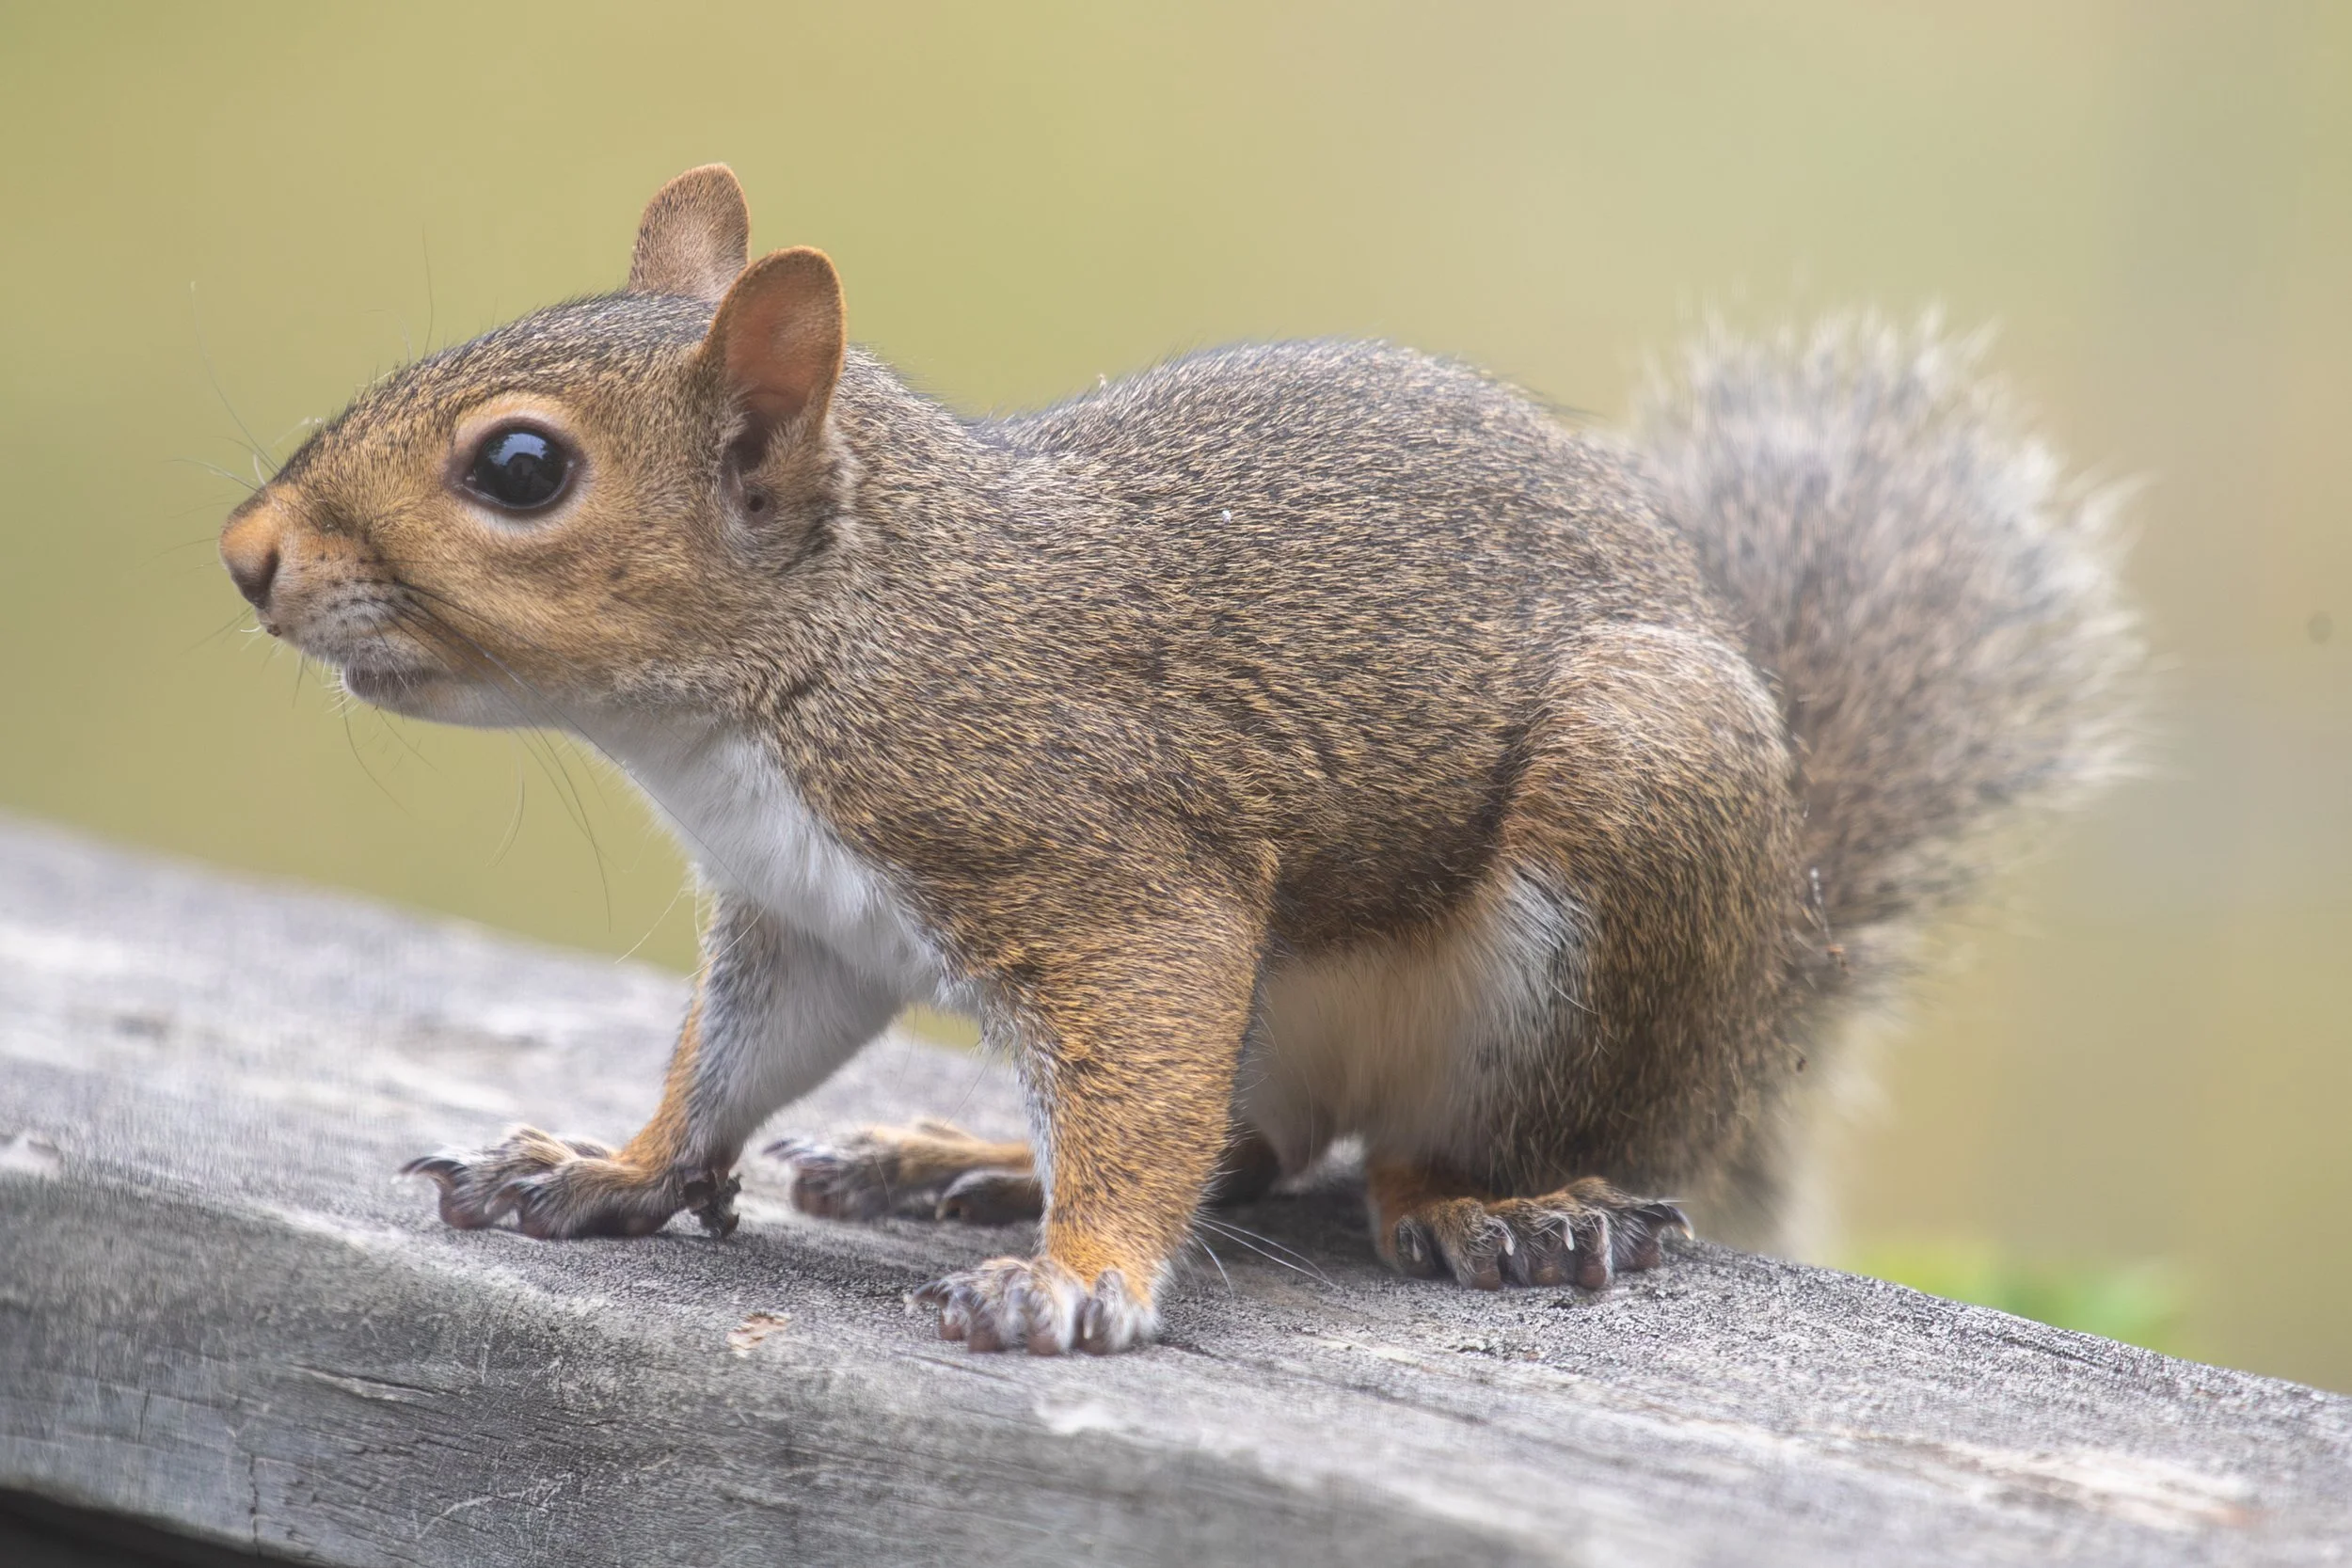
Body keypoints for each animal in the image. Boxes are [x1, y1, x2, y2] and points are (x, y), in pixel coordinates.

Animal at [218, 165, 2136, 1355]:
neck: (811, 658)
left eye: (521, 469)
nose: (246, 553)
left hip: (1626, 841)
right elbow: (731, 1066)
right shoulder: (808, 916)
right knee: (1260, 1142)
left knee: (1429, 1142)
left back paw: (1496, 1208)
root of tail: (1754, 1030)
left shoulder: (1106, 862)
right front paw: (606, 1168)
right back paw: (966, 1154)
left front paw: (1075, 1284)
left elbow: (1140, 1075)